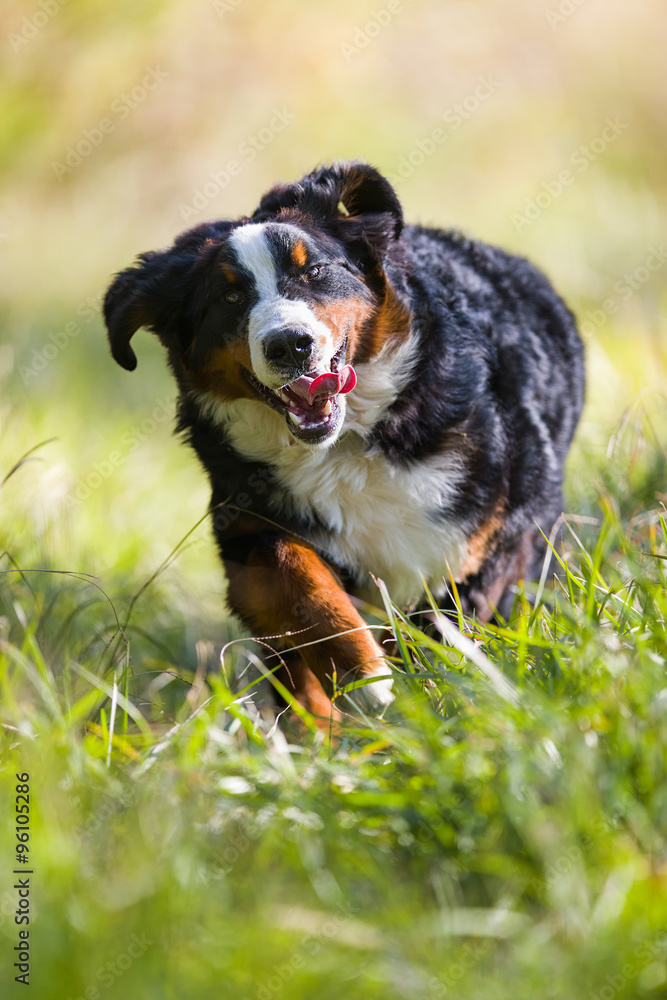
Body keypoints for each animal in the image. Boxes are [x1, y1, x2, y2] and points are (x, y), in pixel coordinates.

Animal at [103, 160, 584, 716]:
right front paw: (365, 675)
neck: (352, 443)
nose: (289, 344)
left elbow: (446, 634)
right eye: (229, 296)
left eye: (313, 271)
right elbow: (296, 580)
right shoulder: (247, 527)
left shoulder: (494, 535)